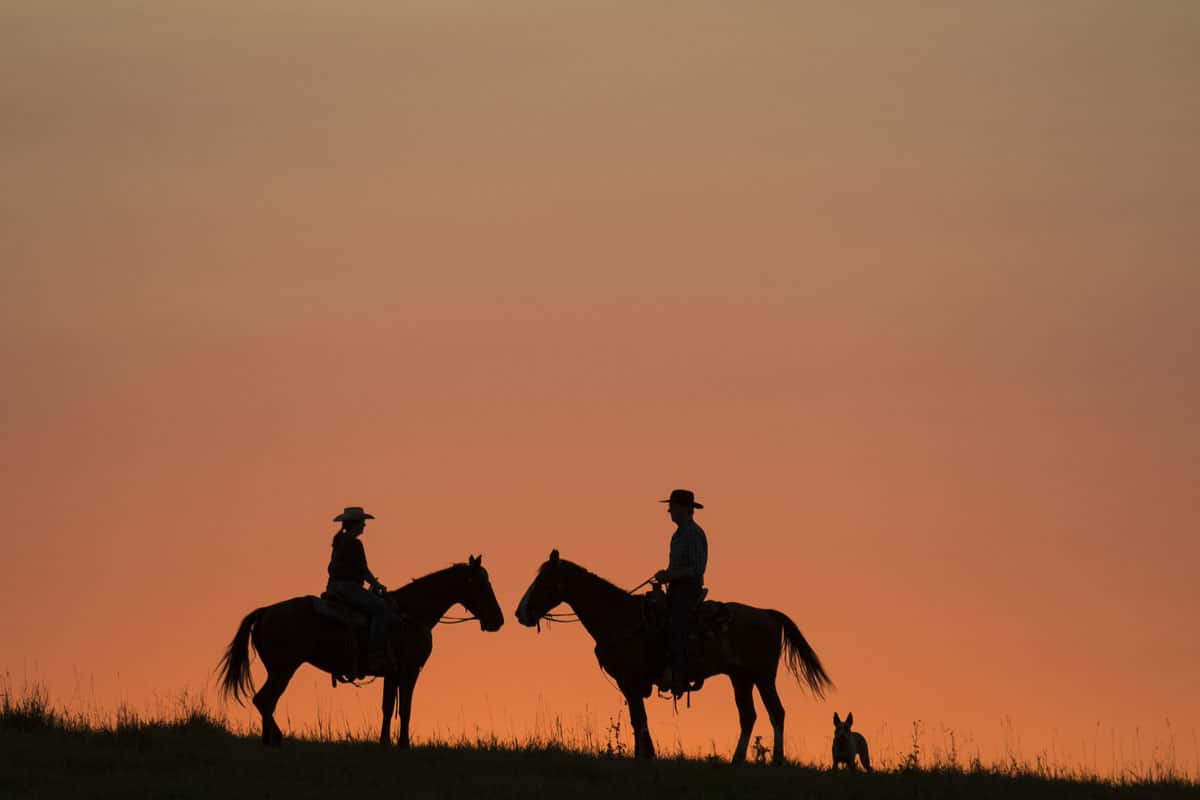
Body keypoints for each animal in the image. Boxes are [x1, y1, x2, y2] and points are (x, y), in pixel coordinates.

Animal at [219, 554, 501, 748]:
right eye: (482, 585)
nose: (498, 620)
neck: (411, 613)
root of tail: (266, 611)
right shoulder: (410, 671)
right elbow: (405, 708)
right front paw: (404, 744)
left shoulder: (392, 674)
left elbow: (388, 707)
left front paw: (385, 743)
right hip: (283, 669)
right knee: (264, 700)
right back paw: (275, 738)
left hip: (279, 670)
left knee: (266, 702)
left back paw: (269, 740)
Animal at [516, 551, 835, 762]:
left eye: (544, 581)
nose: (521, 613)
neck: (621, 617)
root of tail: (767, 614)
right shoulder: (630, 685)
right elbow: (637, 721)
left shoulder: (631, 682)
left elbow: (639, 720)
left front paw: (646, 758)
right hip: (740, 678)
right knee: (748, 715)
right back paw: (737, 760)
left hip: (763, 676)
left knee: (776, 712)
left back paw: (777, 760)